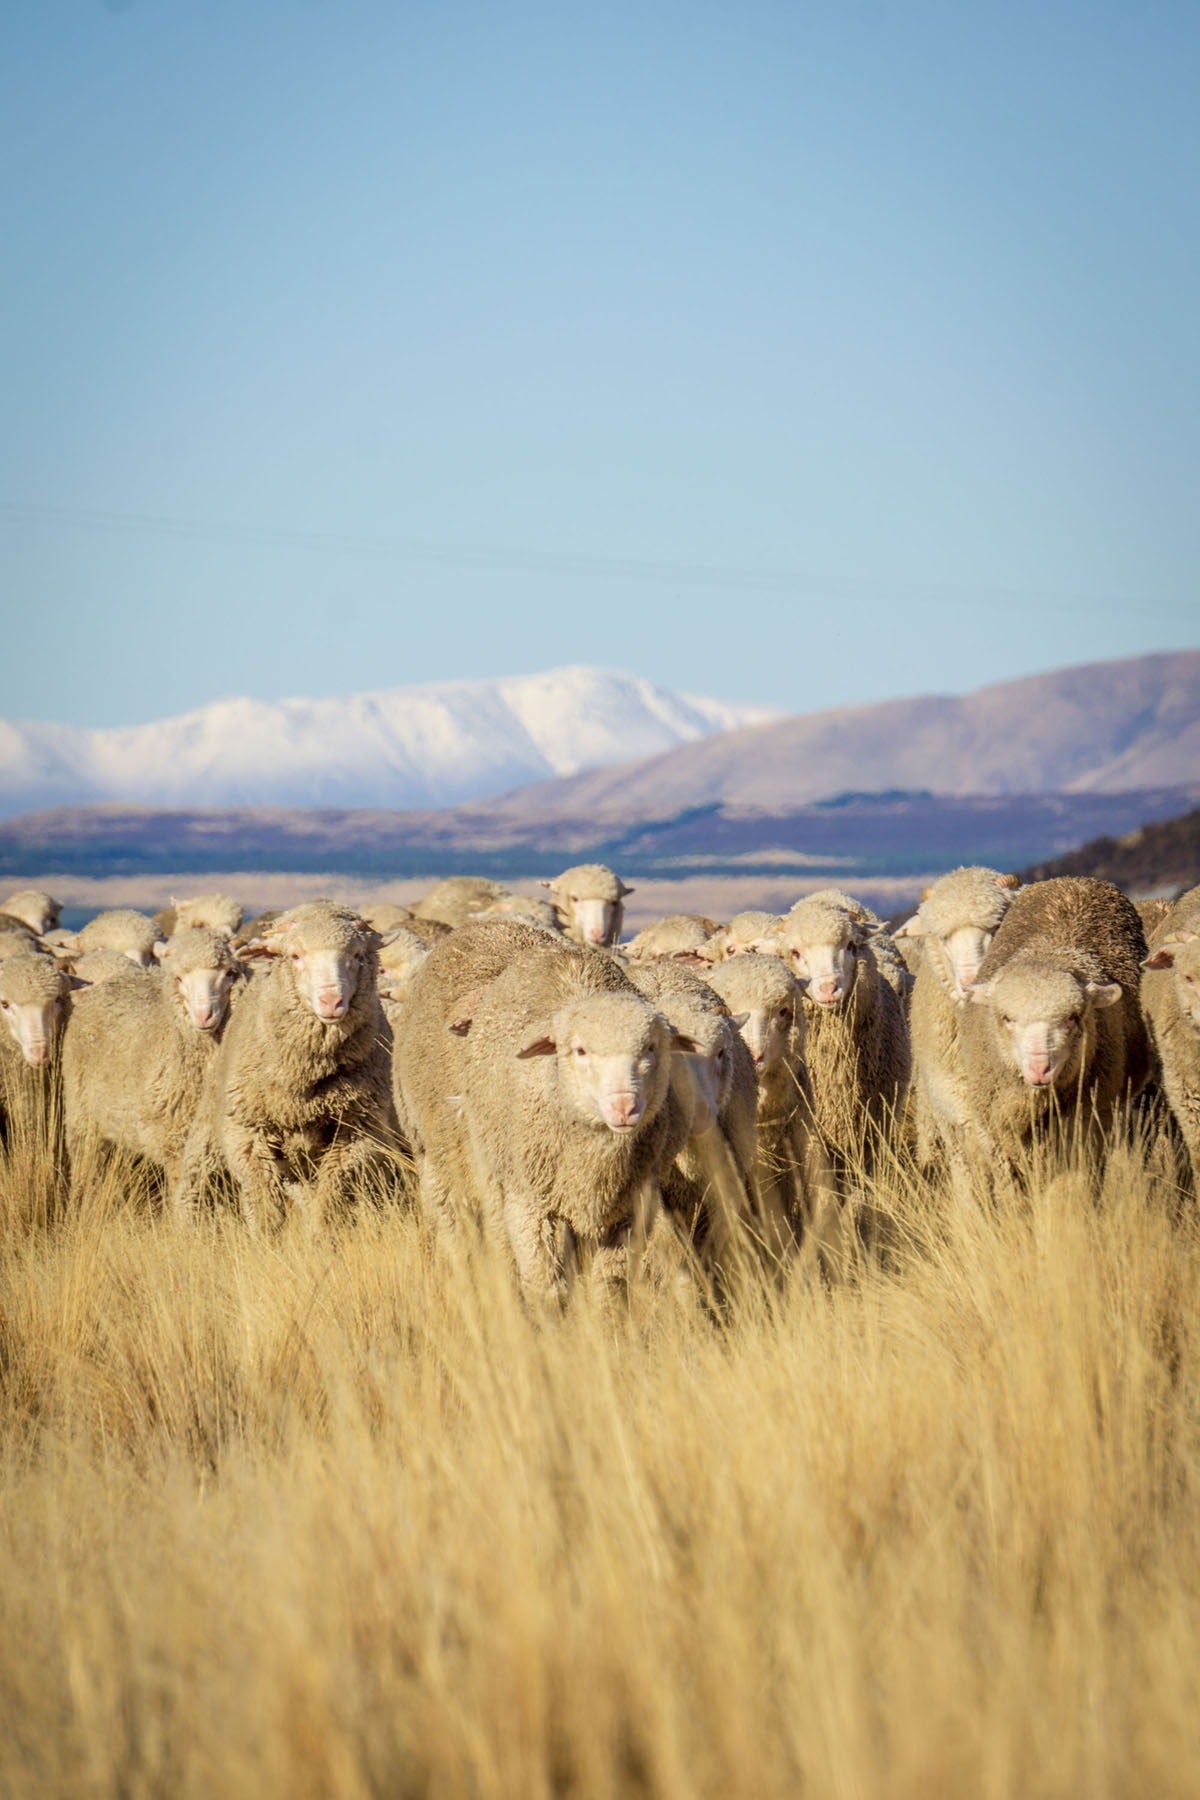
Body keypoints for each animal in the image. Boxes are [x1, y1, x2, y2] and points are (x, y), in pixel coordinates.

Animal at [957, 874, 1151, 1180]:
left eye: (1073, 1017)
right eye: (1006, 1018)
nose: (1040, 1068)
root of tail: (1074, 879)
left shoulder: (1086, 1128)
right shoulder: (996, 1133)